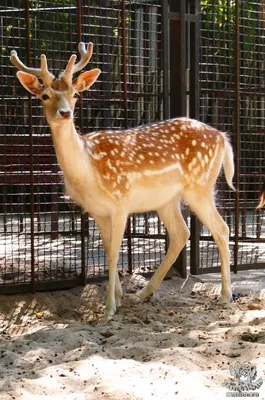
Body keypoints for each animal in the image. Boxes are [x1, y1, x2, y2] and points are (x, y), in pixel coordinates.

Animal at [10, 40, 234, 316]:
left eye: (75, 94)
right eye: (44, 96)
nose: (64, 113)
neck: (89, 172)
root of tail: (223, 137)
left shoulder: (120, 203)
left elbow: (114, 254)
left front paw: (109, 309)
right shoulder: (96, 210)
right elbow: (108, 252)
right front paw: (119, 297)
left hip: (200, 186)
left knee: (221, 229)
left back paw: (225, 296)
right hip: (167, 200)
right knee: (181, 233)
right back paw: (143, 294)